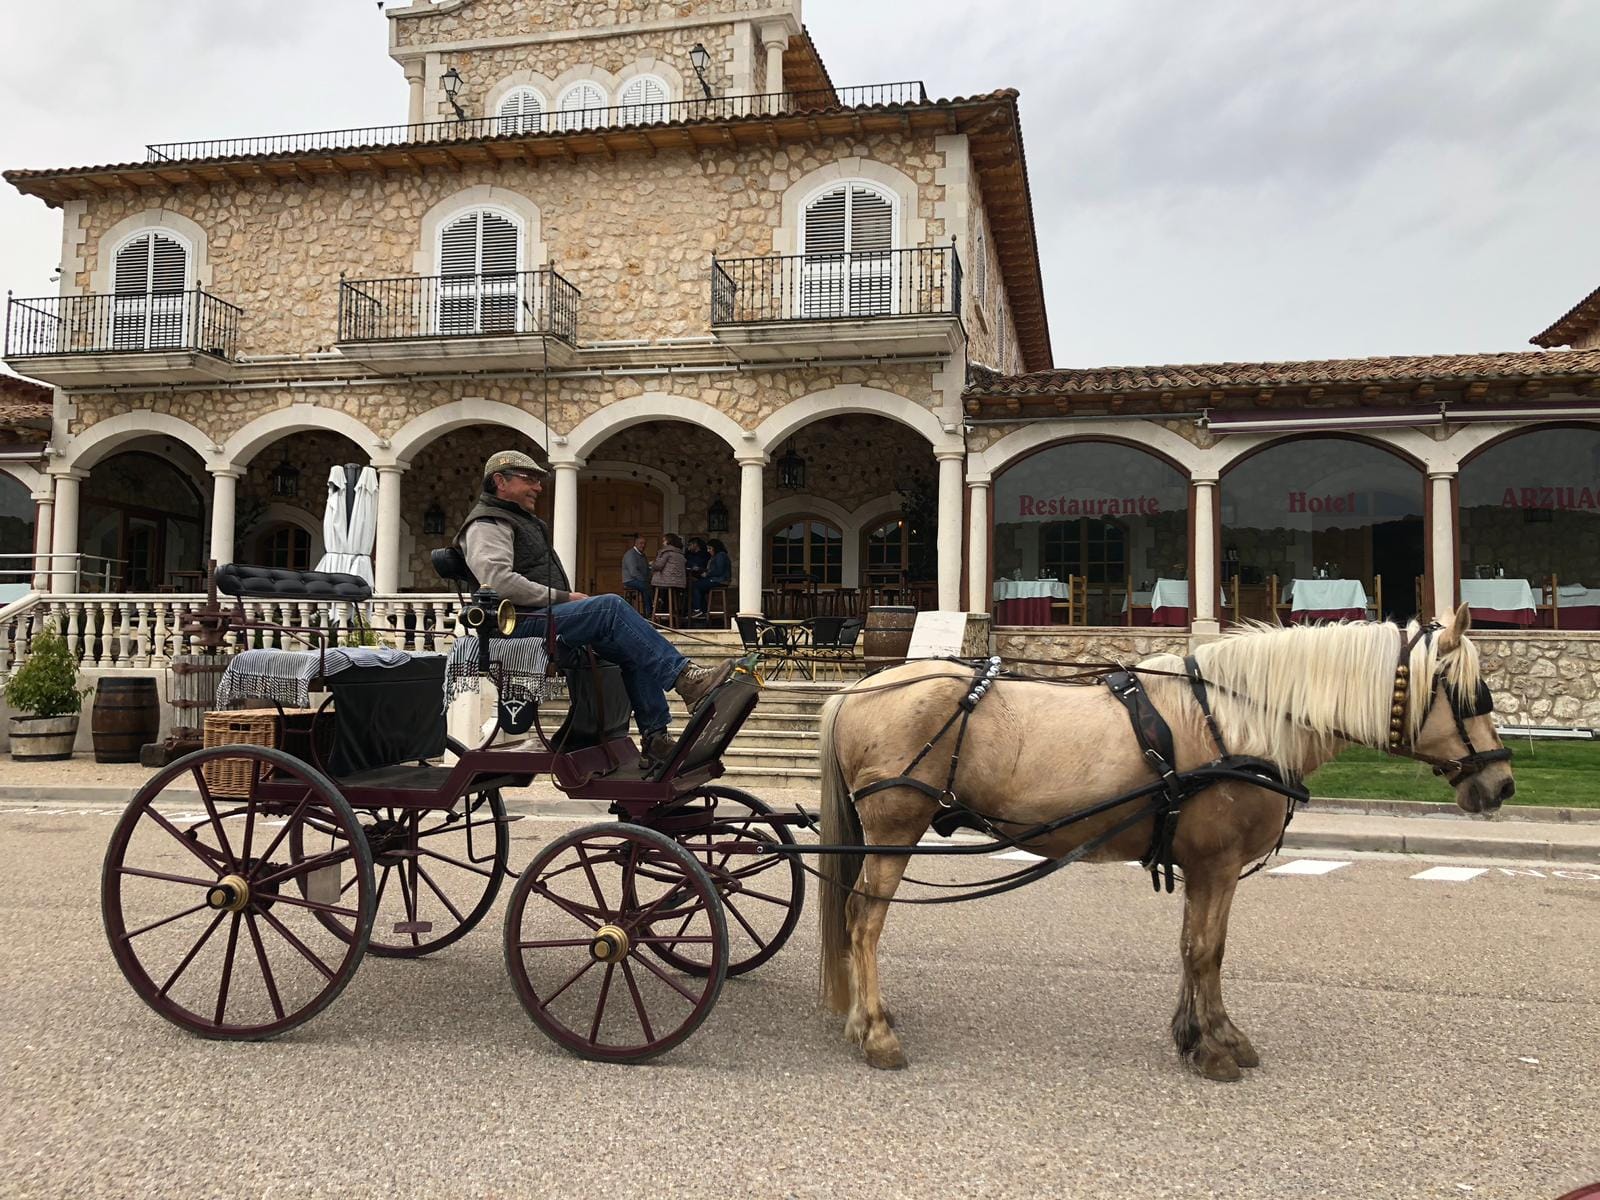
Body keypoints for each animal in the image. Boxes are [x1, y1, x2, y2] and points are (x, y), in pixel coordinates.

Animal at [819, 604, 1516, 1088]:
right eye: (1469, 694)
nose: (1503, 783)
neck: (1240, 722)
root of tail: (857, 689)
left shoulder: (1203, 864)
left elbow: (1193, 946)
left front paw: (1201, 1033)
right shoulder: (1219, 863)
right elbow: (1208, 951)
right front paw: (1214, 1046)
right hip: (894, 830)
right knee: (865, 921)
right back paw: (874, 1031)